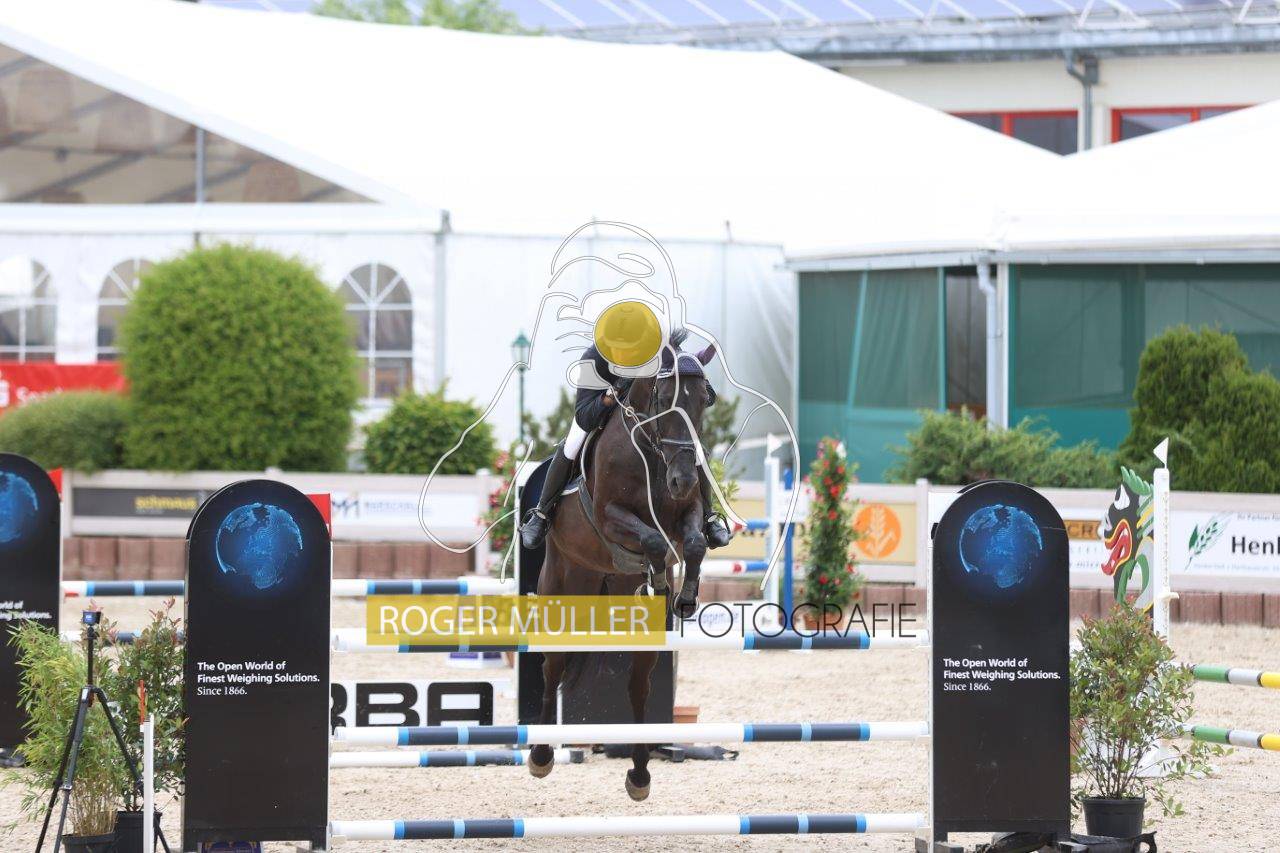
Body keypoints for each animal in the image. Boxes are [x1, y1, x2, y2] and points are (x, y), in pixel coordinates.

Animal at [527, 343, 717, 801]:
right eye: (664, 398)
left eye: (705, 400)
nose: (683, 479)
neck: (652, 453)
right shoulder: (612, 516)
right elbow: (651, 541)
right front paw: (661, 577)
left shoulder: (687, 511)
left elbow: (695, 542)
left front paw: (683, 597)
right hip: (563, 588)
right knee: (552, 669)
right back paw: (541, 756)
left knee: (638, 688)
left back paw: (640, 775)